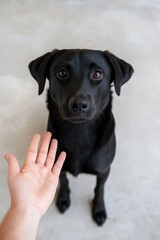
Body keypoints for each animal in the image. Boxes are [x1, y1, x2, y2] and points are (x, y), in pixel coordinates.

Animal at [29, 48, 134, 225]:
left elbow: (99, 189)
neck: (79, 131)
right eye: (62, 73)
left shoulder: (104, 170)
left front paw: (99, 209)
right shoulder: (57, 163)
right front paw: (63, 198)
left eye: (97, 73)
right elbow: (63, 180)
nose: (79, 104)